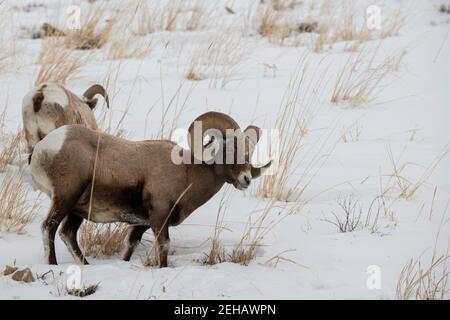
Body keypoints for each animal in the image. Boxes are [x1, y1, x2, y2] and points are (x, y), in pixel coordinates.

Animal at [31, 111, 272, 266]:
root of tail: (42, 149)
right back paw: (52, 266)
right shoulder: (159, 218)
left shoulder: (142, 223)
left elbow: (130, 246)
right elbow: (163, 247)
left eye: (248, 151)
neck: (187, 171)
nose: (246, 179)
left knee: (67, 233)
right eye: (229, 149)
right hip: (65, 198)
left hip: (77, 210)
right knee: (49, 228)